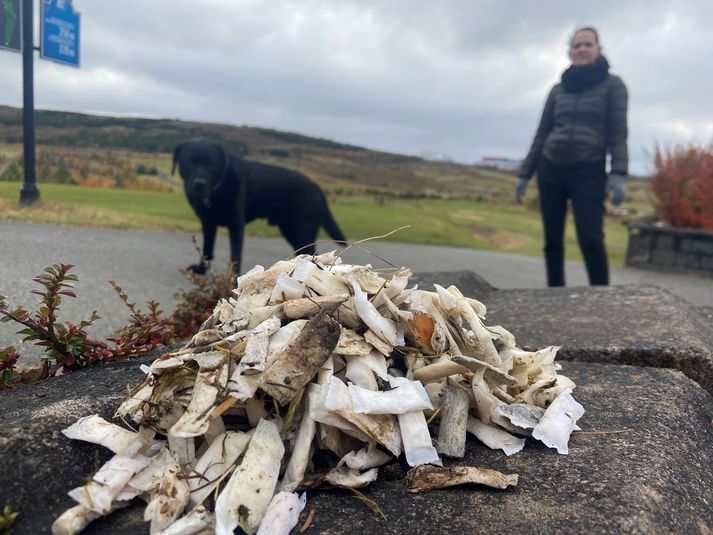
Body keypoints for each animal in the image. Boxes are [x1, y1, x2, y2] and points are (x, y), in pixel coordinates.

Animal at [174, 139, 350, 272]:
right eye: (188, 161)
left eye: (212, 164)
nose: (199, 184)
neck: (218, 189)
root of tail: (318, 189)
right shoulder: (208, 223)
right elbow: (207, 250)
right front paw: (201, 269)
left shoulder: (236, 224)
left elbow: (235, 256)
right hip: (290, 230)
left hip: (302, 229)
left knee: (310, 251)